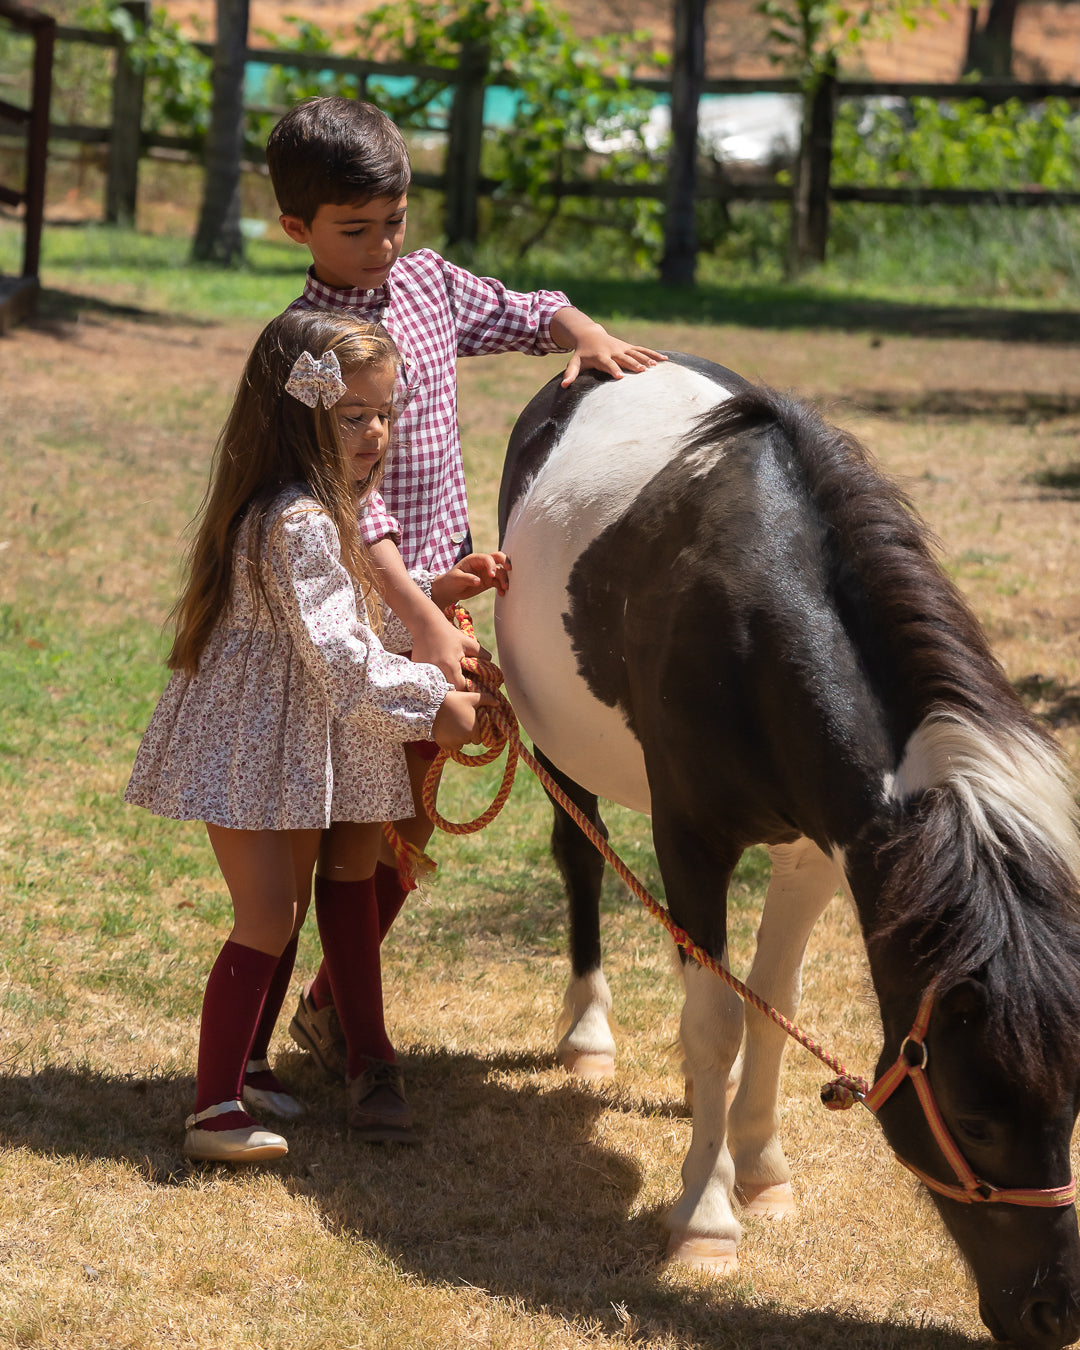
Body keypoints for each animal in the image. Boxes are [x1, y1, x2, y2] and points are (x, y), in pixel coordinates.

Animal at [494, 359, 1080, 1350]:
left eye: (1072, 1109)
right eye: (974, 1122)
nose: (1055, 1312)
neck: (754, 608)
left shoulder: (818, 852)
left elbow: (769, 1007)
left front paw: (759, 1169)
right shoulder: (690, 839)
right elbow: (716, 1022)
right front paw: (706, 1219)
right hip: (561, 751)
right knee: (583, 859)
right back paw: (588, 1035)